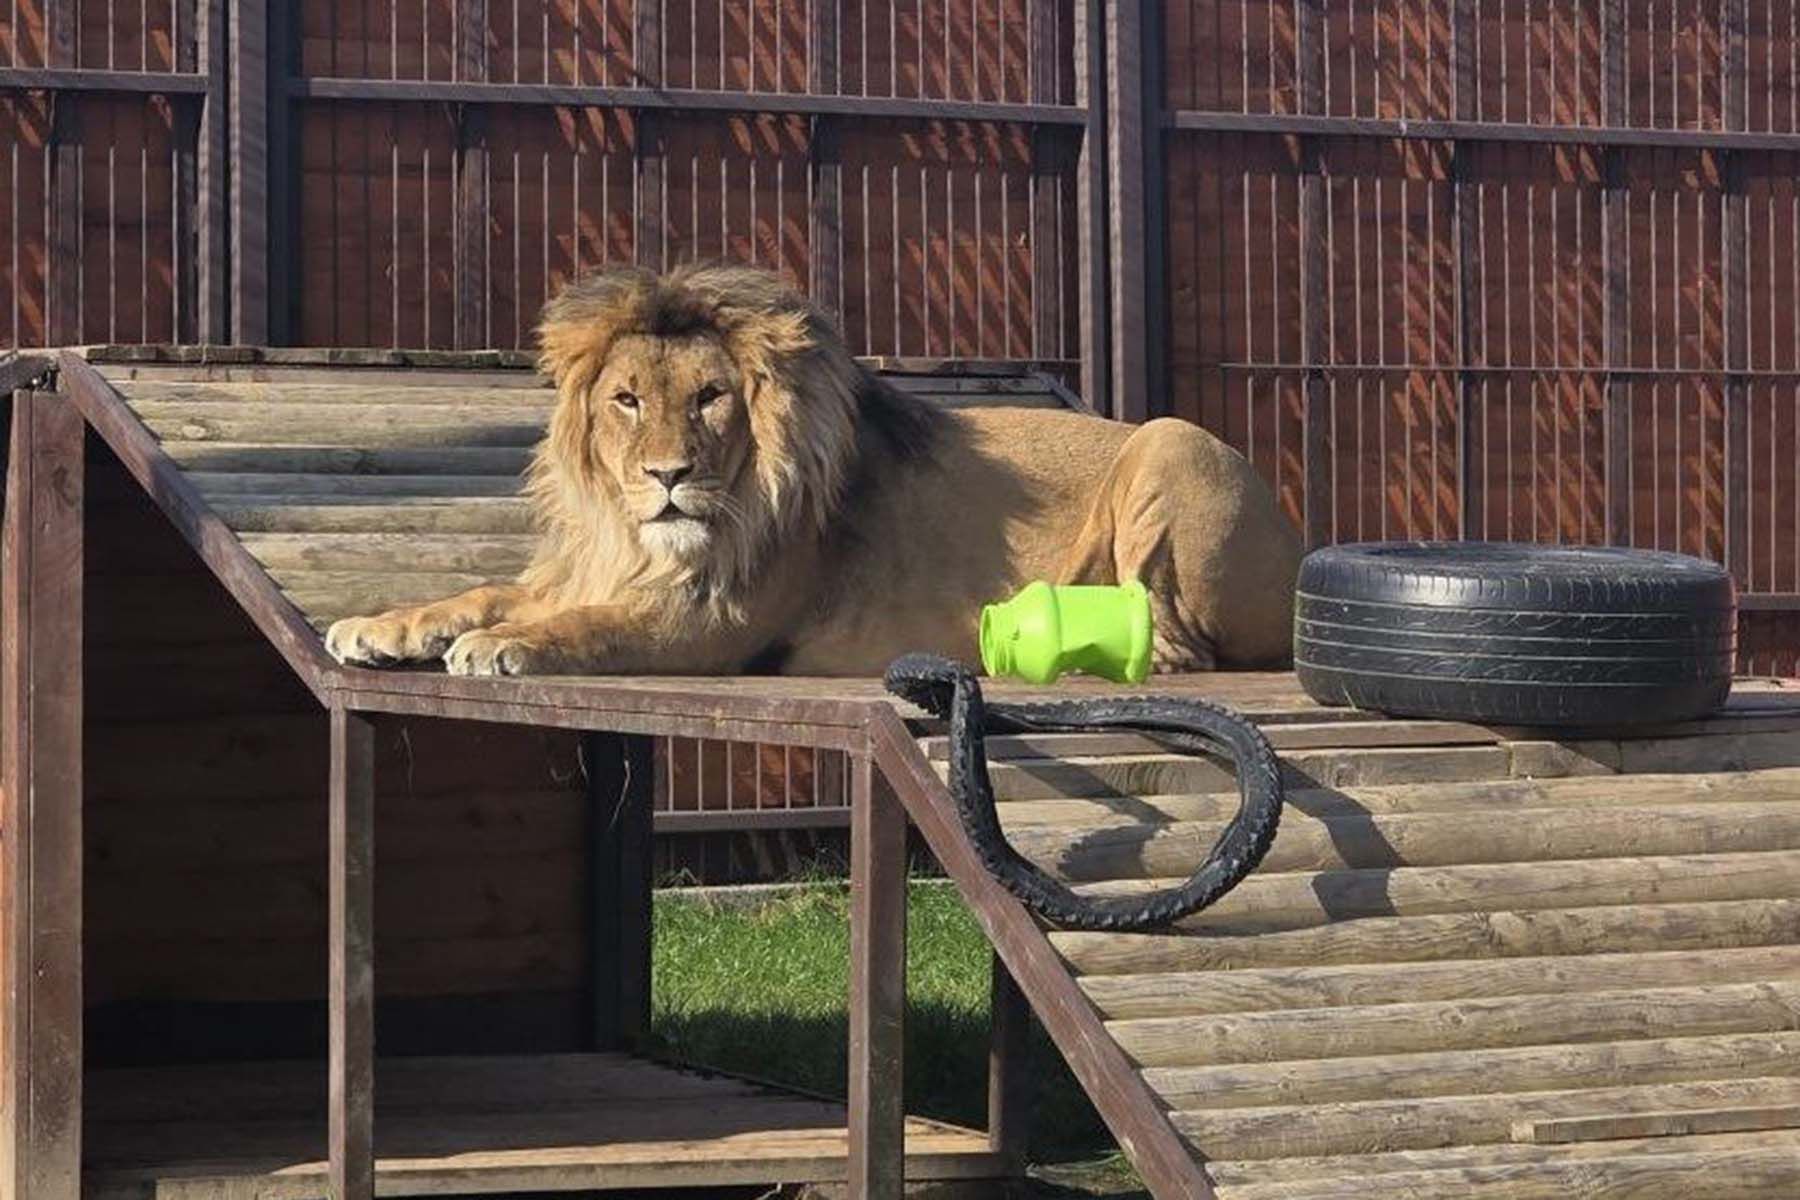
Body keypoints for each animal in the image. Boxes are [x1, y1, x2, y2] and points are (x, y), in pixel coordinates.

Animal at [324, 264, 1302, 678]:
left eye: (712, 396)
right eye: (628, 400)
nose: (668, 476)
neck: (635, 536)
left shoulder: (710, 623)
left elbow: (590, 625)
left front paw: (508, 645)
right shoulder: (592, 566)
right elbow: (483, 591)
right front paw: (383, 626)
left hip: (1173, 442)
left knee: (1184, 647)